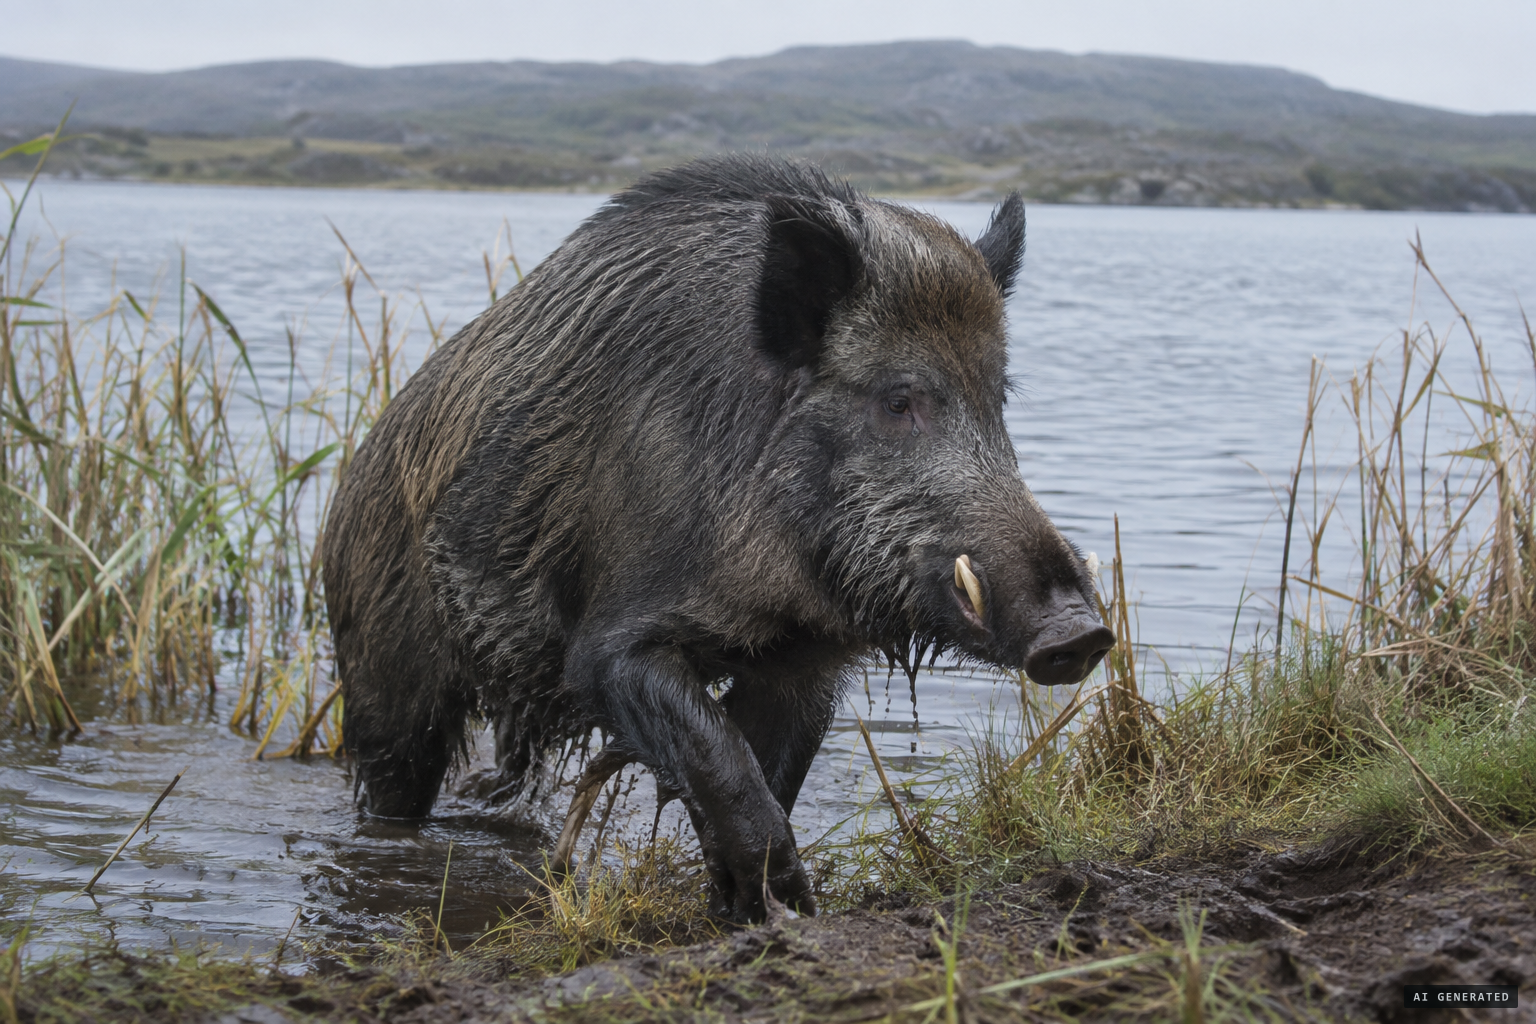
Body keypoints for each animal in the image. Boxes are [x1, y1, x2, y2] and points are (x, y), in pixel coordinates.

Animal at [321, 156, 1113, 923]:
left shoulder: (805, 660)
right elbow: (715, 753)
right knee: (392, 779)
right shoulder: (610, 643)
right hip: (382, 671)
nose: (1080, 633)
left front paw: (749, 914)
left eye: (998, 399)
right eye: (898, 399)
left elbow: (766, 768)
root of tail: (349, 484)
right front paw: (787, 904)